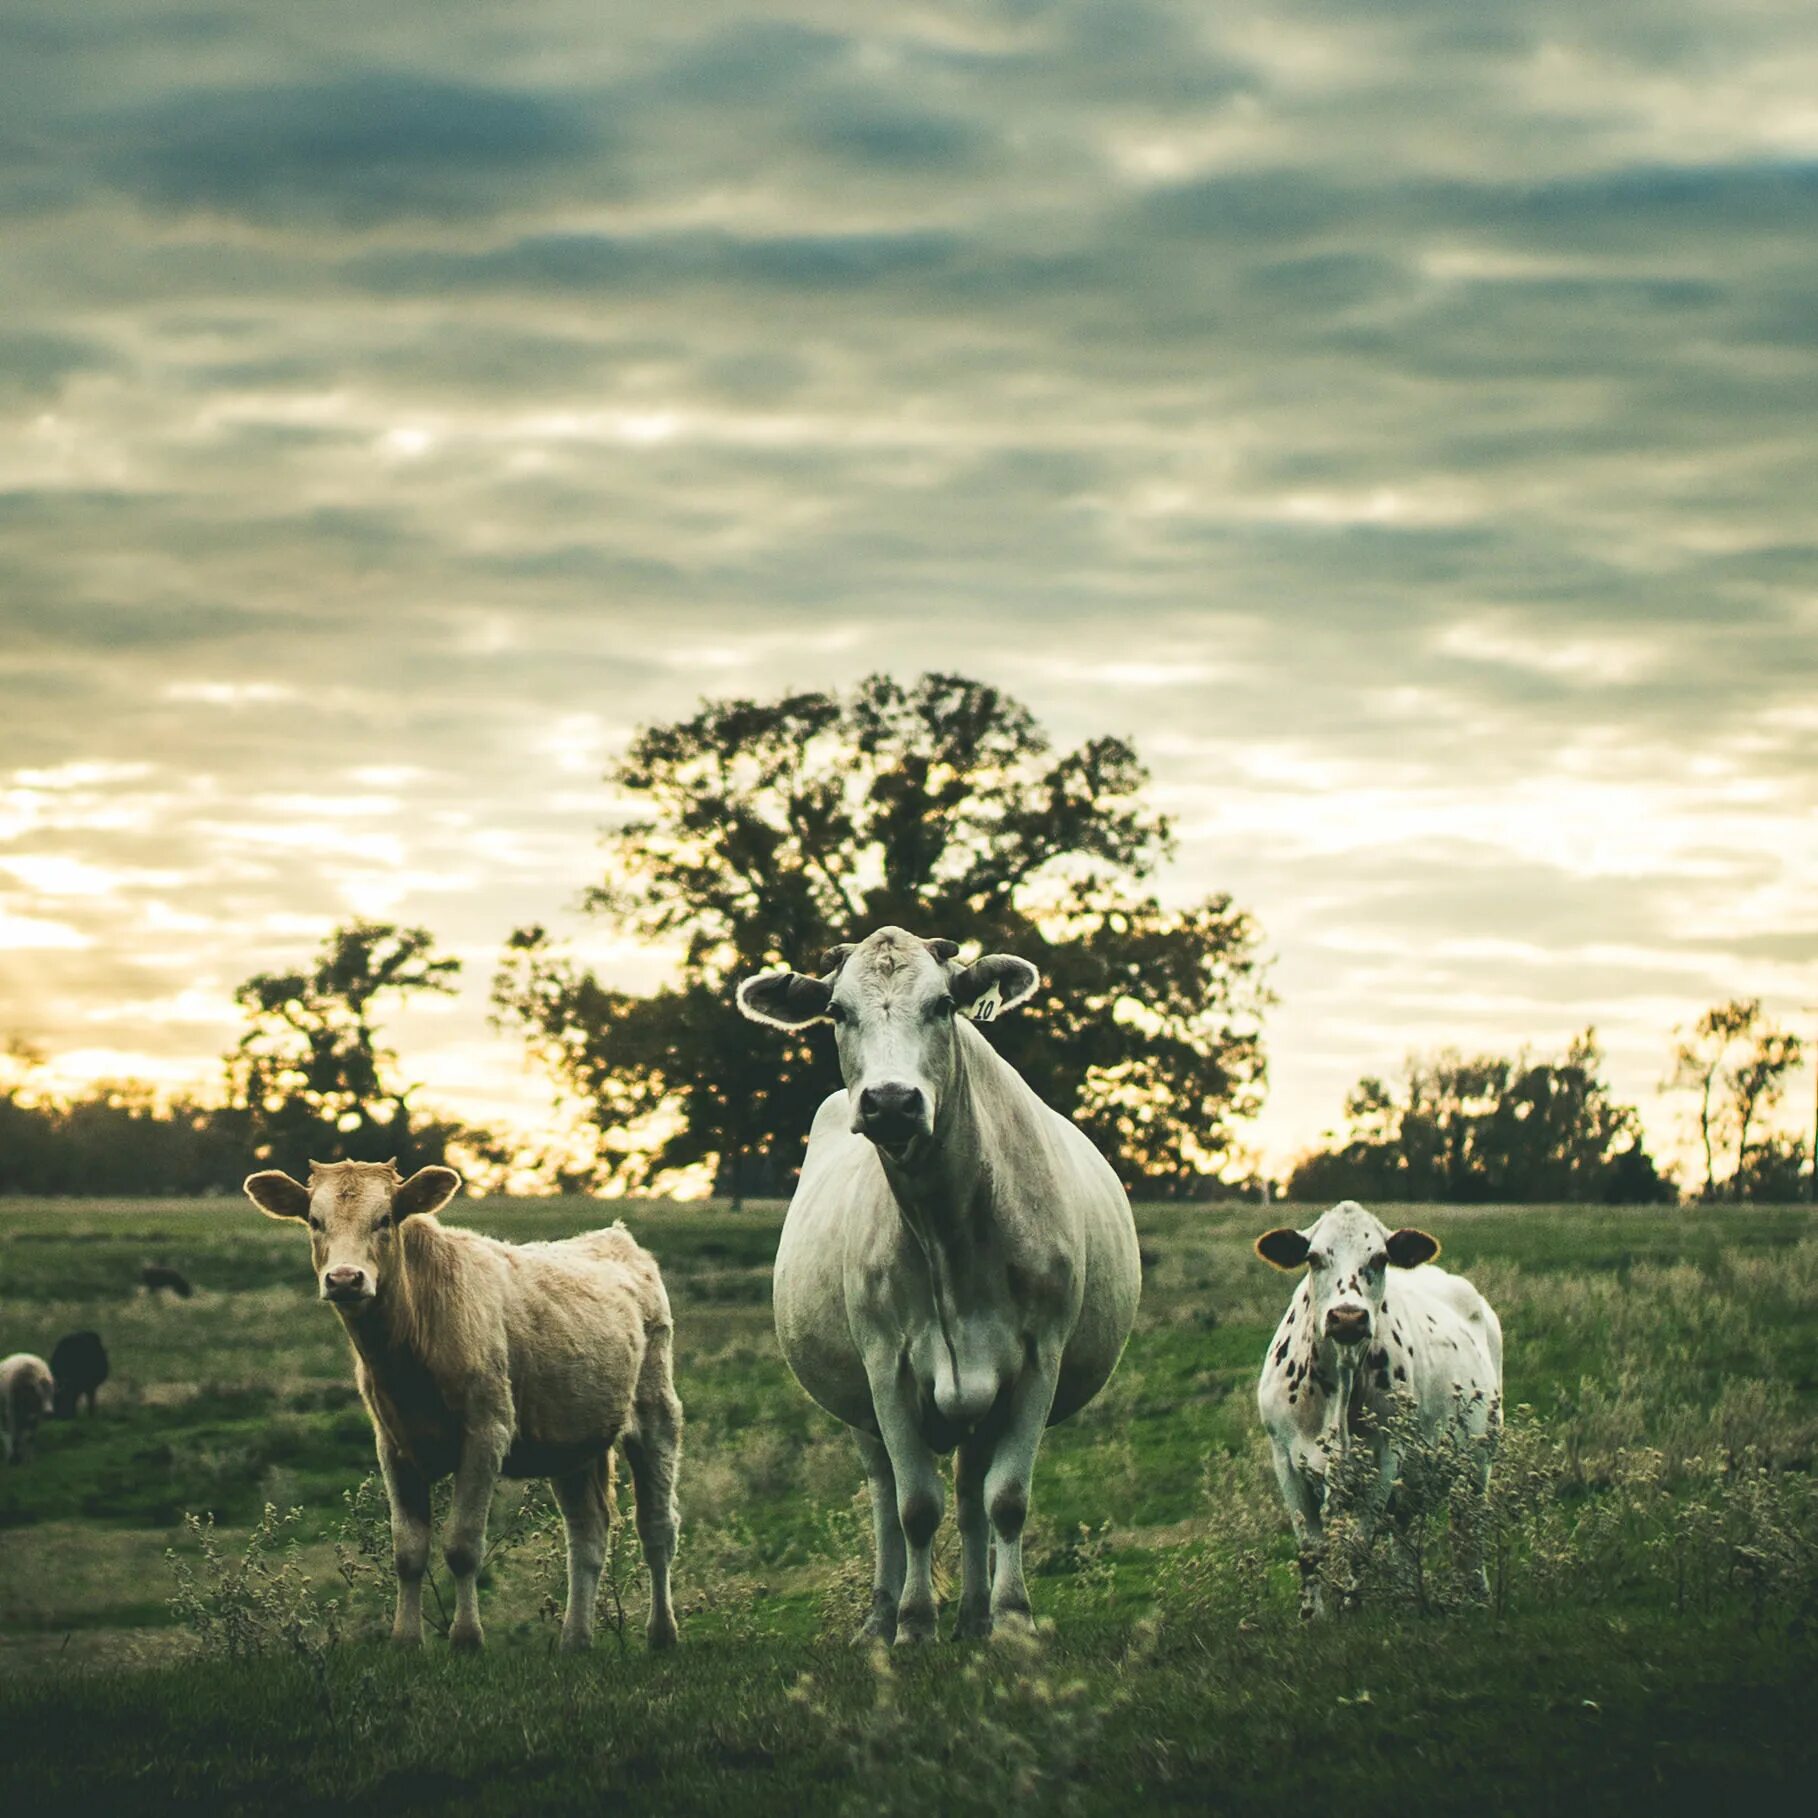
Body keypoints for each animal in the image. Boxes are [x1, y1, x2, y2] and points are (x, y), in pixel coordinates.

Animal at [734, 930, 1134, 1643]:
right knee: (884, 1497)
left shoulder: (1040, 1360)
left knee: (974, 1495)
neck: (949, 1229)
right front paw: (915, 1623)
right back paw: (879, 1618)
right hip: (861, 1411)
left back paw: (976, 1615)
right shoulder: (885, 1367)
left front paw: (1013, 1617)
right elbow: (916, 1504)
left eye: (945, 1004)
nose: (891, 1101)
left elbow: (1007, 1498)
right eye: (835, 1011)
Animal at [1250, 1199, 1505, 1614]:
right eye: (1314, 1257)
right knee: (1404, 1535)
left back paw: (1476, 1594)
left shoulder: (1386, 1459)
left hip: (1478, 1462)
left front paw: (1351, 1610)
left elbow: (1358, 1546)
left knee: (1467, 1530)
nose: (1348, 1316)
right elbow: (1310, 1550)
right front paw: (1312, 1615)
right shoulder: (1284, 1458)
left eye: (1380, 1258)